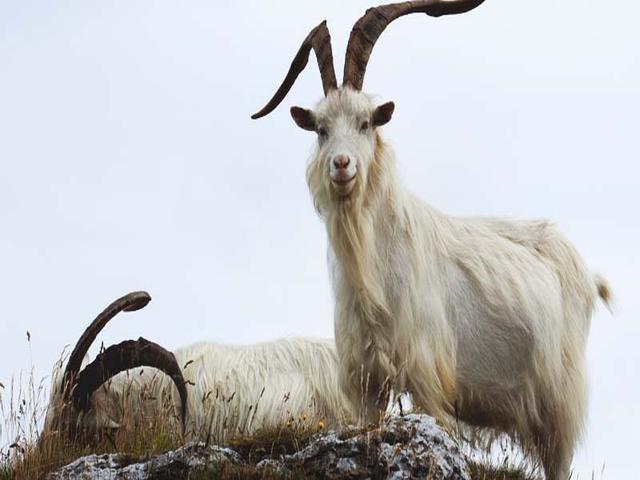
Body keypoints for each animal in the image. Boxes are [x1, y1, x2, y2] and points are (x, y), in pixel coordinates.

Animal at [252, 1, 611, 479]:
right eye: (321, 129)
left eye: (365, 123)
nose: (341, 165)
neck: (377, 265)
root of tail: (587, 273)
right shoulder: (365, 381)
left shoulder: (427, 374)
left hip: (560, 399)